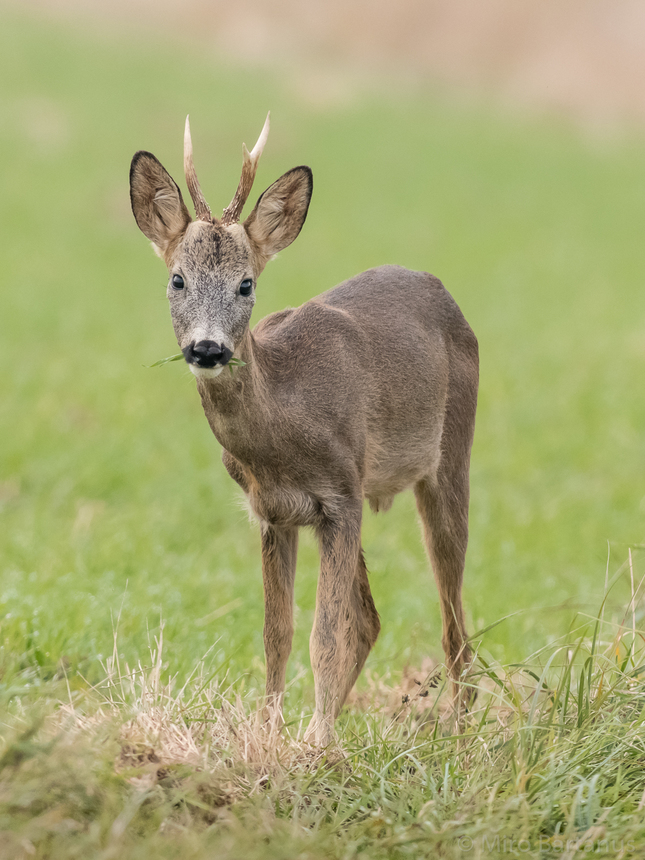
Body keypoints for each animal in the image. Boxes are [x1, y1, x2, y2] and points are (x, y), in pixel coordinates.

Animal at [128, 114, 476, 744]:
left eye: (246, 284)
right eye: (177, 279)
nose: (208, 349)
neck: (285, 427)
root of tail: (441, 288)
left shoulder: (341, 496)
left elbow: (325, 636)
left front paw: (318, 746)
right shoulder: (275, 512)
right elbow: (278, 633)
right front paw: (271, 734)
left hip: (450, 454)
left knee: (452, 618)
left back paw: (461, 732)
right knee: (373, 618)